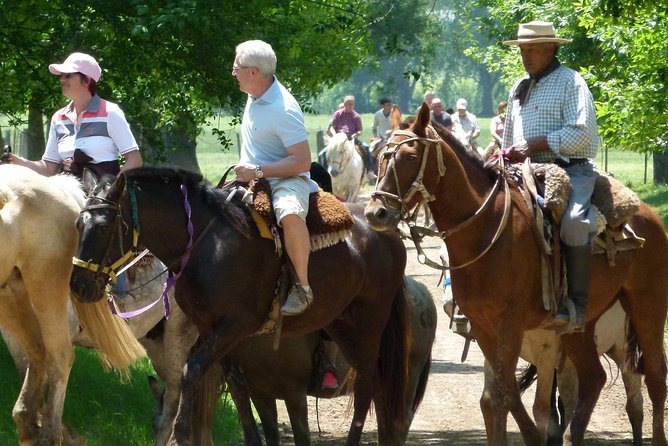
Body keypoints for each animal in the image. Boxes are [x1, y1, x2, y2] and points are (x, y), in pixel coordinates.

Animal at [0, 164, 145, 446]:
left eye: (103, 228)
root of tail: (57, 186)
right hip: (10, 294)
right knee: (38, 352)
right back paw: (31, 422)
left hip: (44, 287)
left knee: (59, 356)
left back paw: (48, 433)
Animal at [70, 168, 410, 446]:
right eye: (77, 224)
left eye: (103, 226)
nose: (78, 285)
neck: (206, 243)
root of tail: (383, 231)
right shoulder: (217, 335)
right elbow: (239, 391)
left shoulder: (232, 327)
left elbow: (189, 373)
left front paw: (182, 433)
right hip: (340, 322)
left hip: (369, 322)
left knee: (367, 384)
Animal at [366, 103, 668, 444]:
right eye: (380, 156)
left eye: (410, 157)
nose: (376, 213)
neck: (486, 230)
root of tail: (649, 215)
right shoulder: (485, 330)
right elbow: (503, 393)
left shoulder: (511, 327)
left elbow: (505, 395)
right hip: (582, 325)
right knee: (593, 378)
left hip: (647, 305)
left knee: (655, 377)